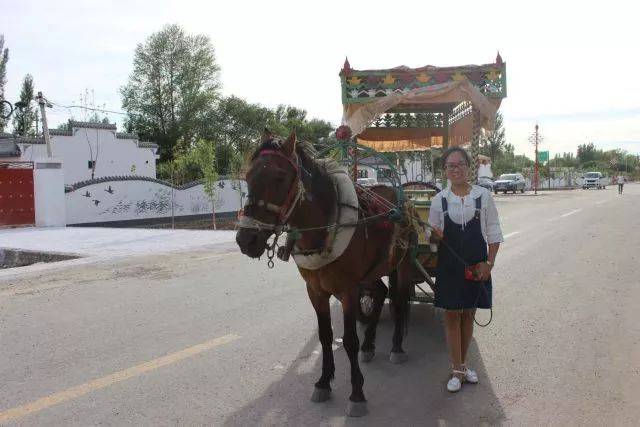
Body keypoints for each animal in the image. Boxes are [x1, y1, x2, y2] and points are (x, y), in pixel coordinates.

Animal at [235, 130, 416, 418]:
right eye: (248, 176)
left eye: (280, 177)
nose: (246, 239)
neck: (325, 228)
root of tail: (403, 201)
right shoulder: (316, 291)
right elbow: (325, 336)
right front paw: (323, 382)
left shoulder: (348, 291)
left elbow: (349, 340)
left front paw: (357, 394)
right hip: (371, 271)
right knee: (380, 292)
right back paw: (369, 345)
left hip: (403, 264)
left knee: (398, 301)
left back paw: (396, 347)